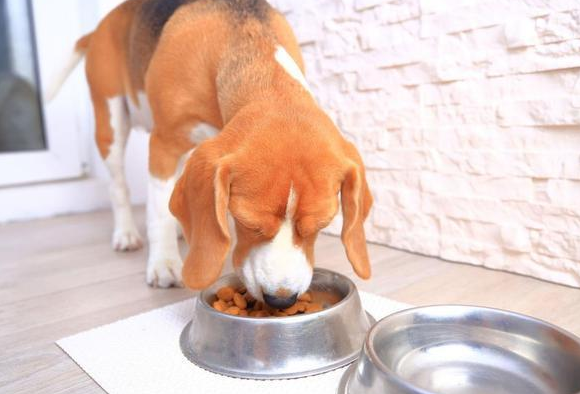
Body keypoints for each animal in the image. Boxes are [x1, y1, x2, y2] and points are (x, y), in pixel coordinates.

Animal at [52, 0, 374, 310]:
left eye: (321, 225)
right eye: (248, 223)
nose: (281, 300)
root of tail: (102, 26)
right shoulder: (164, 143)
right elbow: (158, 212)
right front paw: (164, 263)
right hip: (110, 122)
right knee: (118, 185)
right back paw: (126, 234)